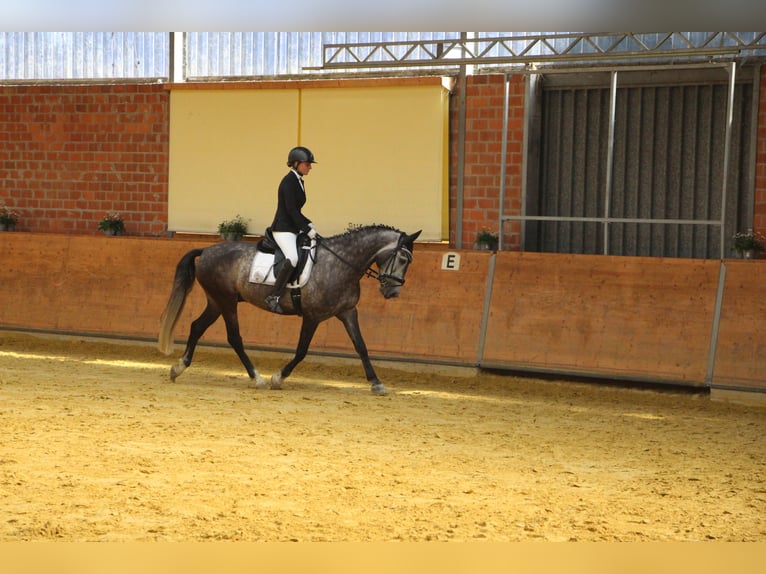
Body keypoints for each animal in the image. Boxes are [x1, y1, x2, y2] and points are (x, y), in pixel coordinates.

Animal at [157, 224, 421, 395]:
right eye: (403, 259)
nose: (392, 292)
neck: (340, 263)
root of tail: (206, 250)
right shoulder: (313, 317)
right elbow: (302, 350)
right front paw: (278, 378)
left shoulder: (348, 312)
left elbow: (361, 347)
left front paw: (376, 383)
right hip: (226, 301)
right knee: (234, 337)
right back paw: (258, 379)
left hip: (216, 301)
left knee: (197, 326)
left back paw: (178, 368)